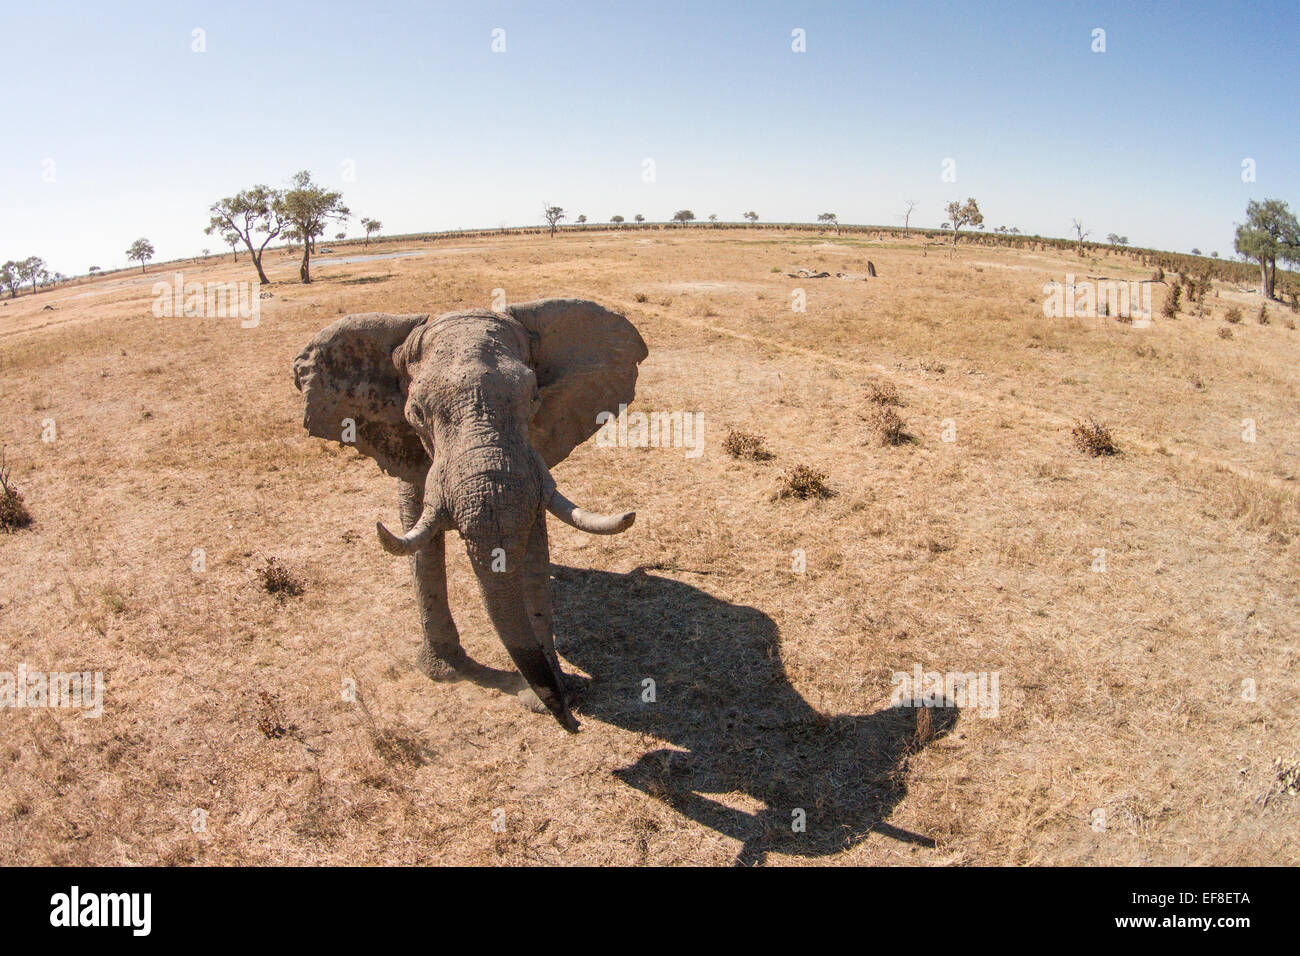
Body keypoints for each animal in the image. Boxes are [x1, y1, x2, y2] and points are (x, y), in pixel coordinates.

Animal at [299, 299, 655, 733]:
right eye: (416, 413)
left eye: (533, 398)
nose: (572, 723)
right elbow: (417, 527)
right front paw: (444, 673)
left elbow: (533, 545)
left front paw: (544, 696)